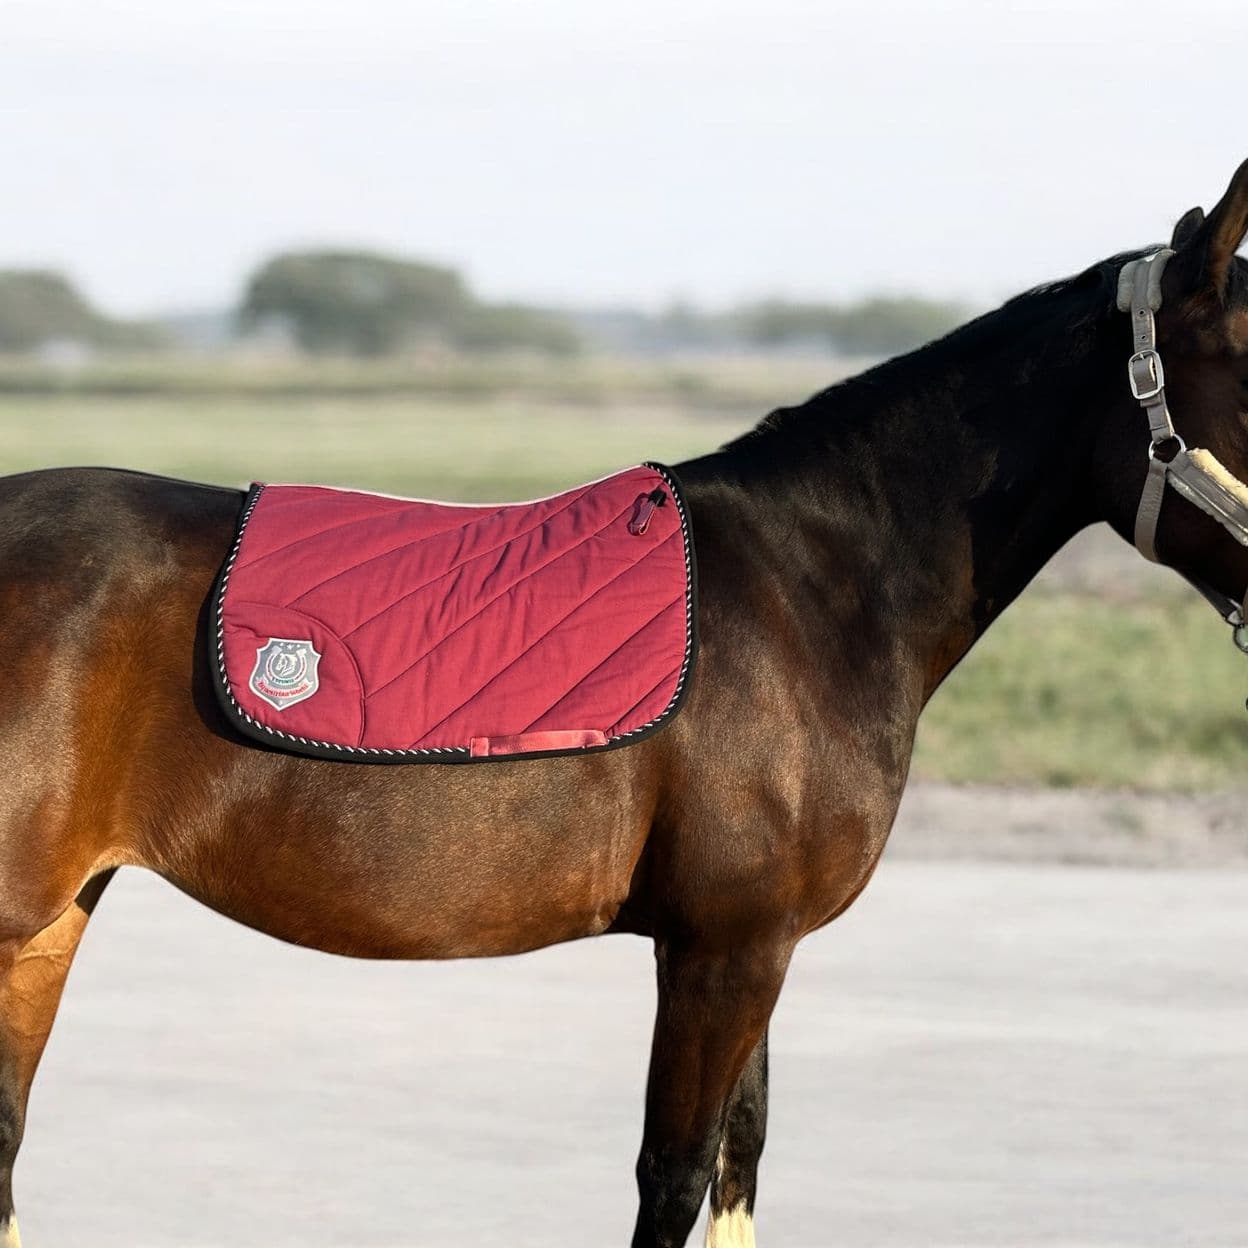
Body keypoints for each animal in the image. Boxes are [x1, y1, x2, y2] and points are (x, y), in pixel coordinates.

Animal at [4, 160, 1248, 1248]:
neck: (812, 588)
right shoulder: (724, 949)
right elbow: (677, 1178)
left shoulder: (749, 948)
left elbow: (738, 1168)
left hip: (54, 924)